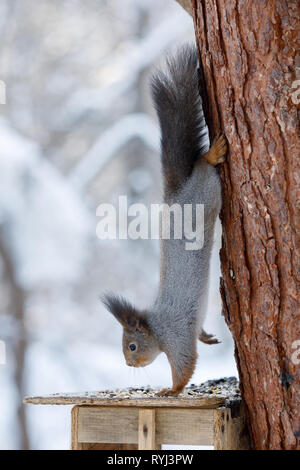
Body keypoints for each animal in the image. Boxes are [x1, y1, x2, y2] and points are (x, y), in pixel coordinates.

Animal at [102, 44, 226, 396]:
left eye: (131, 346)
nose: (129, 365)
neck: (156, 327)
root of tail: (174, 193)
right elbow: (199, 333)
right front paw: (207, 337)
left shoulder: (176, 336)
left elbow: (185, 365)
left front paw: (169, 391)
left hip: (204, 194)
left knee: (202, 165)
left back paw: (213, 153)